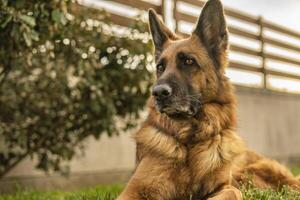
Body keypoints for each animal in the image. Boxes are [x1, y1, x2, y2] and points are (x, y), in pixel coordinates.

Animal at [117, 0, 300, 198]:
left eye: (188, 61)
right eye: (160, 67)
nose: (158, 92)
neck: (190, 141)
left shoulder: (226, 186)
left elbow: (233, 192)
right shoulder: (135, 190)